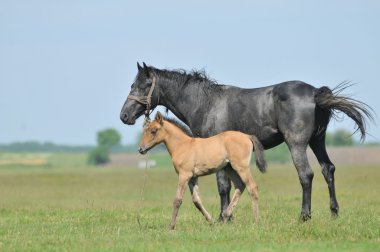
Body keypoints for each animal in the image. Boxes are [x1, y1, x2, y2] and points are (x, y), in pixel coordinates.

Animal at [138, 112, 266, 230]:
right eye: (146, 130)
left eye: (154, 130)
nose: (140, 149)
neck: (182, 145)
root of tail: (248, 136)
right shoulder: (193, 177)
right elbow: (196, 200)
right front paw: (211, 221)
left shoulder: (184, 175)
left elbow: (177, 200)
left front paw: (171, 226)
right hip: (229, 168)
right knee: (240, 185)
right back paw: (225, 216)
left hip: (241, 167)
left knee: (252, 187)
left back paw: (256, 221)